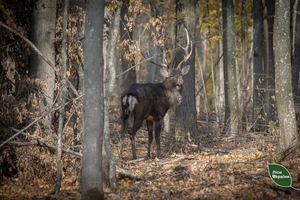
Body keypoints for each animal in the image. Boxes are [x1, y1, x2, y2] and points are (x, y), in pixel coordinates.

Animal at [119, 28, 192, 159]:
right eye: (171, 75)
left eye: (181, 74)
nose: (180, 83)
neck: (168, 97)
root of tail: (129, 94)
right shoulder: (159, 114)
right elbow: (157, 136)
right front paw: (159, 154)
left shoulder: (149, 118)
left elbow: (150, 137)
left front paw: (148, 155)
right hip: (139, 113)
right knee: (131, 132)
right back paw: (134, 156)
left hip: (124, 111)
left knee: (122, 132)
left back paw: (120, 156)